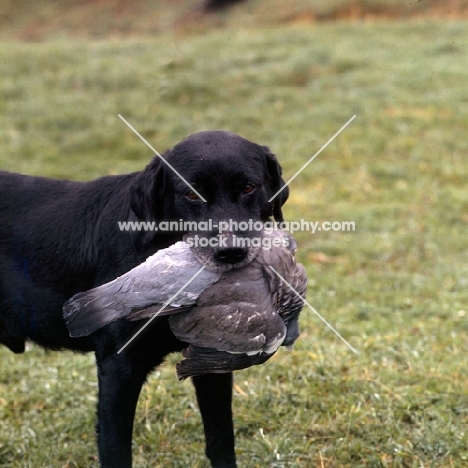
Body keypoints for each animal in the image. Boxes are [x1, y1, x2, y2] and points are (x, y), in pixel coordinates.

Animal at [0, 131, 288, 468]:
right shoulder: (118, 366)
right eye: (190, 195)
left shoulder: (211, 362)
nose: (229, 252)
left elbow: (221, 440)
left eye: (247, 188)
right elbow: (115, 450)